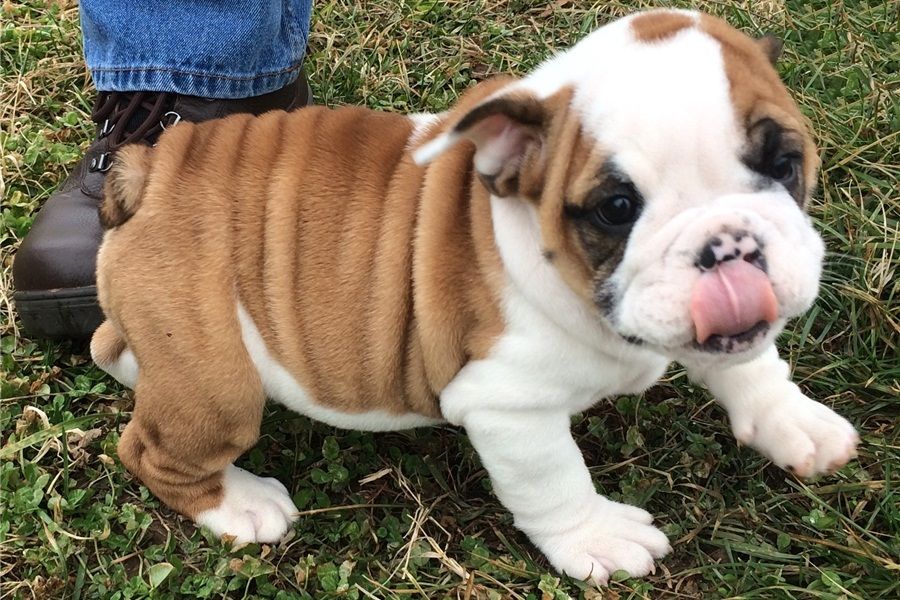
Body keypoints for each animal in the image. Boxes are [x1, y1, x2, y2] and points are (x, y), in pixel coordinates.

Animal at [90, 9, 859, 584]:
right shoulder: (507, 406)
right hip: (218, 383)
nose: (728, 247)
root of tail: (153, 168)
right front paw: (598, 538)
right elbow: (556, 479)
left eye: (785, 163)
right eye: (615, 209)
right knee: (153, 451)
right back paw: (241, 505)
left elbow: (750, 362)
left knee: (112, 347)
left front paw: (794, 420)